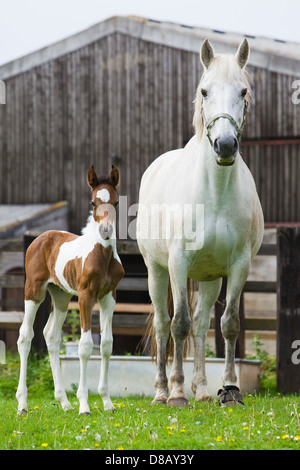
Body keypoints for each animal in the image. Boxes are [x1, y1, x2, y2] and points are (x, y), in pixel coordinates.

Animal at [16, 166, 124, 414]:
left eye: (115, 202)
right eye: (93, 202)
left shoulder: (109, 297)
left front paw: (107, 402)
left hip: (61, 297)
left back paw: (63, 402)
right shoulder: (85, 296)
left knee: (51, 336)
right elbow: (85, 346)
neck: (102, 255)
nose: (105, 231)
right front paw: (84, 404)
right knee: (25, 337)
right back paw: (23, 404)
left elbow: (106, 345)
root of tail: (41, 237)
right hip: (34, 292)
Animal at [137, 38, 264, 406]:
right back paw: (163, 392)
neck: (214, 192)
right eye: (205, 91)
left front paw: (231, 389)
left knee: (200, 324)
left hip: (209, 280)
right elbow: (177, 325)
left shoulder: (238, 266)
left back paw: (204, 391)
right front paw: (178, 393)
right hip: (157, 271)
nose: (225, 145)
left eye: (243, 91)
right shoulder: (178, 263)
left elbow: (228, 324)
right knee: (165, 323)